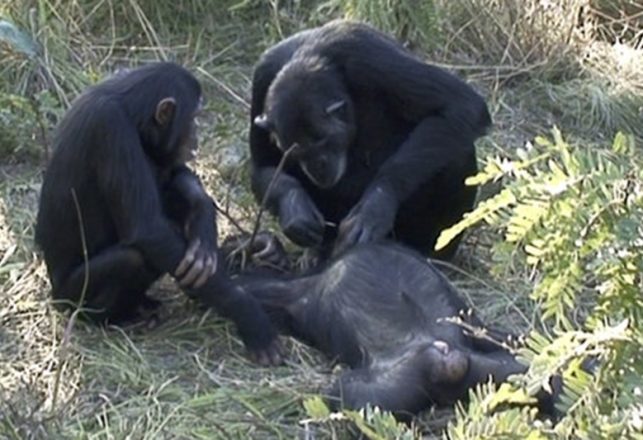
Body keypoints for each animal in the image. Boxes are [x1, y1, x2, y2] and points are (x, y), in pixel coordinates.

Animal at [35, 61, 282, 364]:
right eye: (194, 117)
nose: (197, 135)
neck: (130, 111)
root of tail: (53, 295)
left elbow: (176, 175)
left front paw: (204, 226)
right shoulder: (111, 131)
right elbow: (149, 228)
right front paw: (248, 313)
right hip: (70, 298)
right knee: (132, 258)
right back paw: (115, 319)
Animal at [233, 244, 560, 420]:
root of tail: (448, 359)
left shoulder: (296, 293)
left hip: (397, 384)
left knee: (350, 397)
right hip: (495, 373)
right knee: (548, 378)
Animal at [249, 20, 490, 260]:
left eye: (322, 140)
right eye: (295, 151)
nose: (318, 166)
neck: (309, 55)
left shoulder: (368, 55)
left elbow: (459, 105)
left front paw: (374, 207)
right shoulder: (262, 77)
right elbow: (263, 166)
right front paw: (295, 208)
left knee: (457, 153)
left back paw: (433, 257)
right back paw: (315, 253)